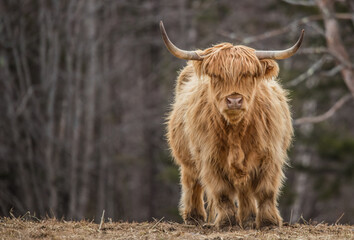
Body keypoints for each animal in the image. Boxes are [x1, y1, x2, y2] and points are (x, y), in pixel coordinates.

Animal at [162, 21, 302, 229]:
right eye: (216, 76)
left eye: (248, 75)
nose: (234, 100)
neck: (237, 131)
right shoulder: (210, 158)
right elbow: (222, 193)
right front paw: (227, 222)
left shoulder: (270, 156)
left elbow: (265, 191)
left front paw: (268, 221)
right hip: (186, 157)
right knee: (191, 182)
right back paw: (194, 217)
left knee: (245, 190)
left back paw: (249, 219)